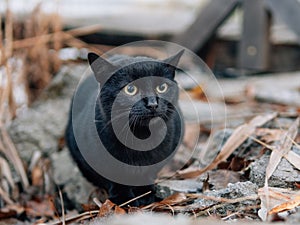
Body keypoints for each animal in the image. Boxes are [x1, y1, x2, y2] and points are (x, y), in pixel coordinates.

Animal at [64, 50, 184, 207]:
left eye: (162, 87)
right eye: (130, 89)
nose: (152, 103)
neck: (140, 138)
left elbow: (149, 171)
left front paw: (145, 193)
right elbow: (113, 177)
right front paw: (123, 198)